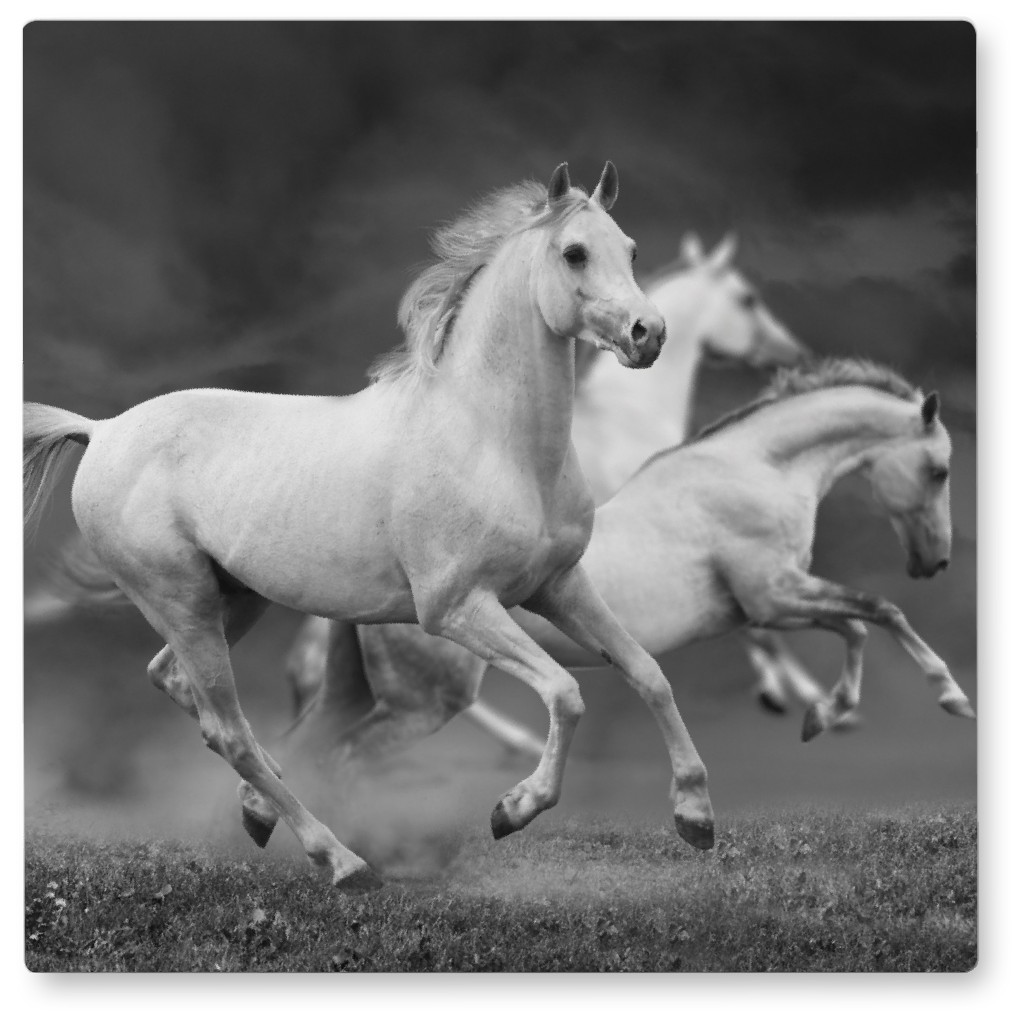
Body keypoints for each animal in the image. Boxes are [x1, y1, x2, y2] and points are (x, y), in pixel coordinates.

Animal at [23, 162, 719, 890]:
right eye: (574, 252)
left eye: (631, 250)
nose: (648, 334)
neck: (494, 443)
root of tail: (102, 430)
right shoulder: (458, 608)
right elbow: (565, 691)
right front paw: (513, 809)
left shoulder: (558, 587)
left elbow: (647, 672)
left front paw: (696, 817)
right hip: (182, 604)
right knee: (231, 731)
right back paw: (341, 859)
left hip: (232, 601)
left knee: (183, 688)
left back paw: (263, 808)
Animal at [288, 358, 975, 774]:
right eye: (939, 469)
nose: (935, 561)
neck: (754, 470)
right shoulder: (775, 596)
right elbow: (881, 610)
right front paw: (953, 698)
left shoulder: (770, 607)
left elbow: (858, 625)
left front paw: (821, 716)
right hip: (428, 701)